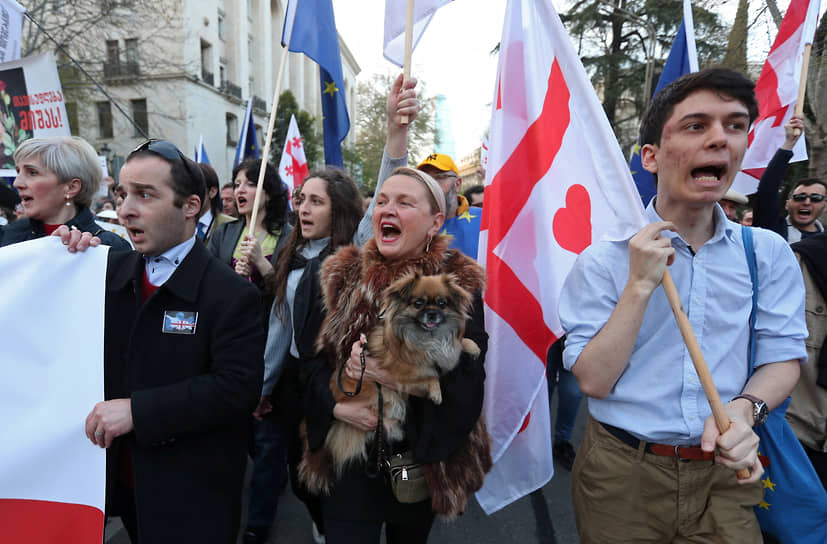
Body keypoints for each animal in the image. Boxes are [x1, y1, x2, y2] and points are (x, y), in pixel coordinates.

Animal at [306, 270, 482, 488]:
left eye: (442, 303)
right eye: (418, 303)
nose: (432, 313)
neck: (428, 336)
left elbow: (457, 345)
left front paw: (472, 346)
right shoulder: (403, 368)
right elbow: (430, 373)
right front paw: (436, 391)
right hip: (380, 396)